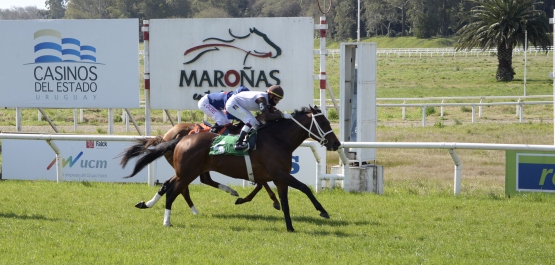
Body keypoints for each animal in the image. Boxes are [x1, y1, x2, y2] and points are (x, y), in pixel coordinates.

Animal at [119, 121, 280, 210]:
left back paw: (147, 204)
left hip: (190, 167)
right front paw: (275, 201)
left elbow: (261, 183)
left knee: (173, 183)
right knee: (185, 186)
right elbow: (262, 183)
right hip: (189, 167)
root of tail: (165, 137)